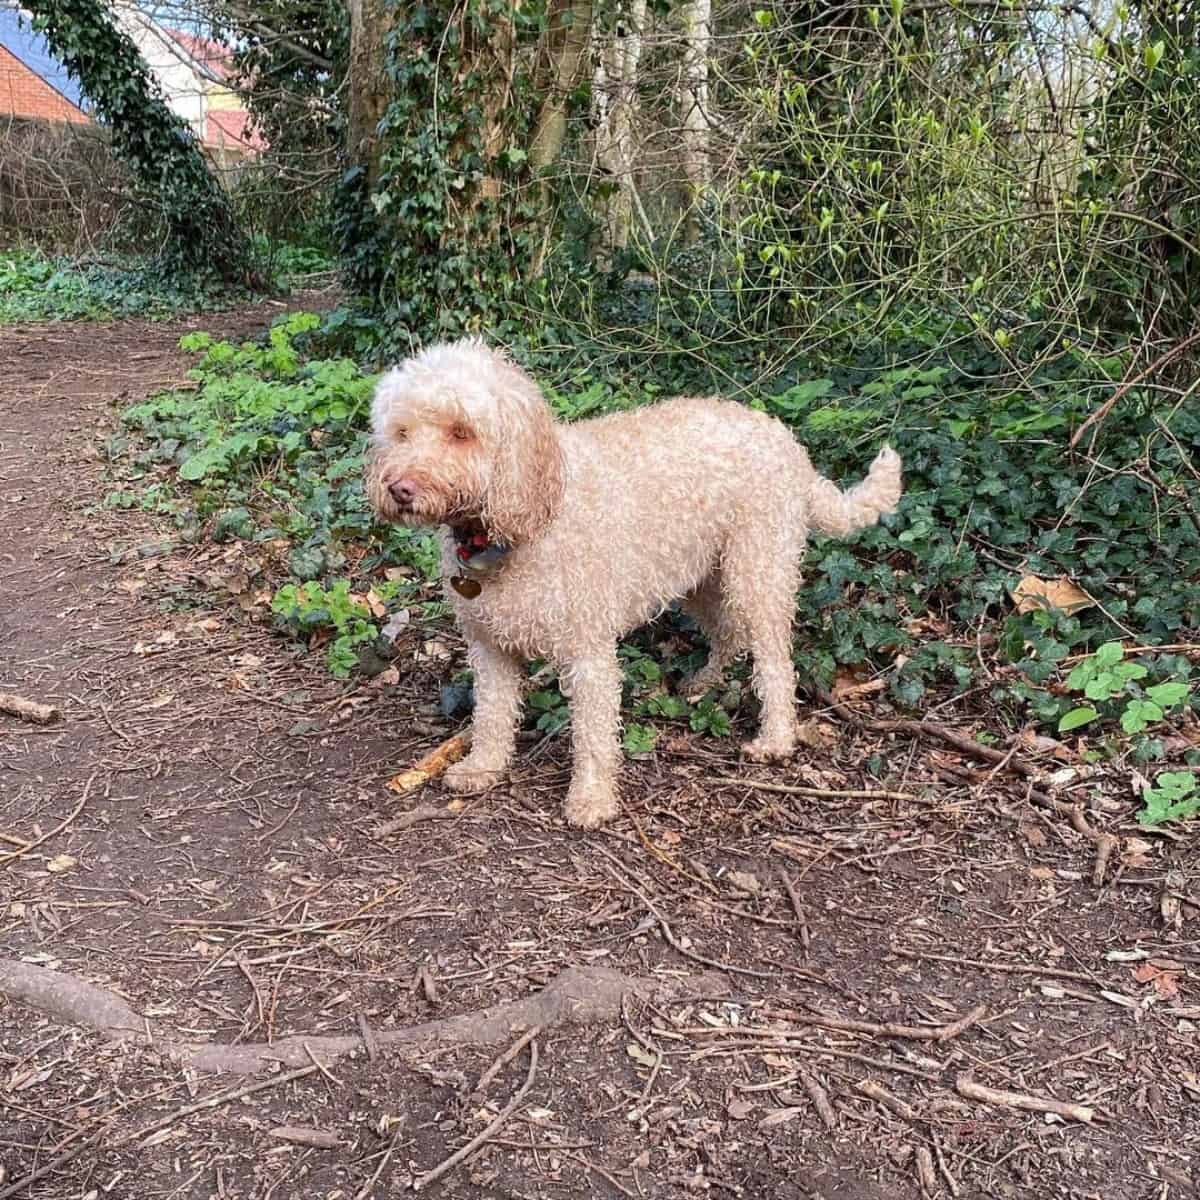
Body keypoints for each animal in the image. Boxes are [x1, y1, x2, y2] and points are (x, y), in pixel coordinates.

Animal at [364, 338, 902, 825]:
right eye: (402, 432)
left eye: (462, 431)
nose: (400, 489)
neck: (517, 522)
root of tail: (786, 440)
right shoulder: (489, 646)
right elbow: (492, 715)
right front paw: (482, 767)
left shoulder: (589, 653)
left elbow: (593, 734)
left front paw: (591, 799)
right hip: (701, 576)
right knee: (729, 632)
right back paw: (704, 682)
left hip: (758, 570)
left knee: (775, 662)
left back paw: (775, 739)